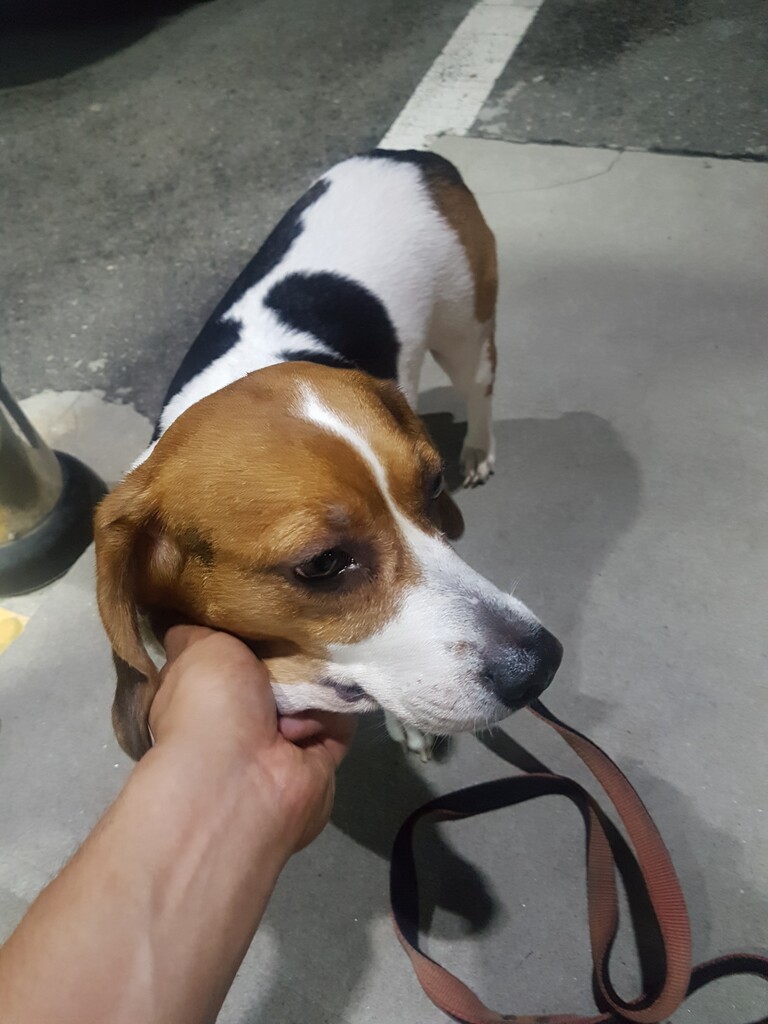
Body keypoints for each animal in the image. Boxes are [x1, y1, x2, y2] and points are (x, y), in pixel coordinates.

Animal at [94, 149, 562, 762]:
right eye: (322, 564)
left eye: (434, 486)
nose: (539, 666)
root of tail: (412, 155)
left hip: (466, 331)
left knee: (480, 389)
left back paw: (481, 448)